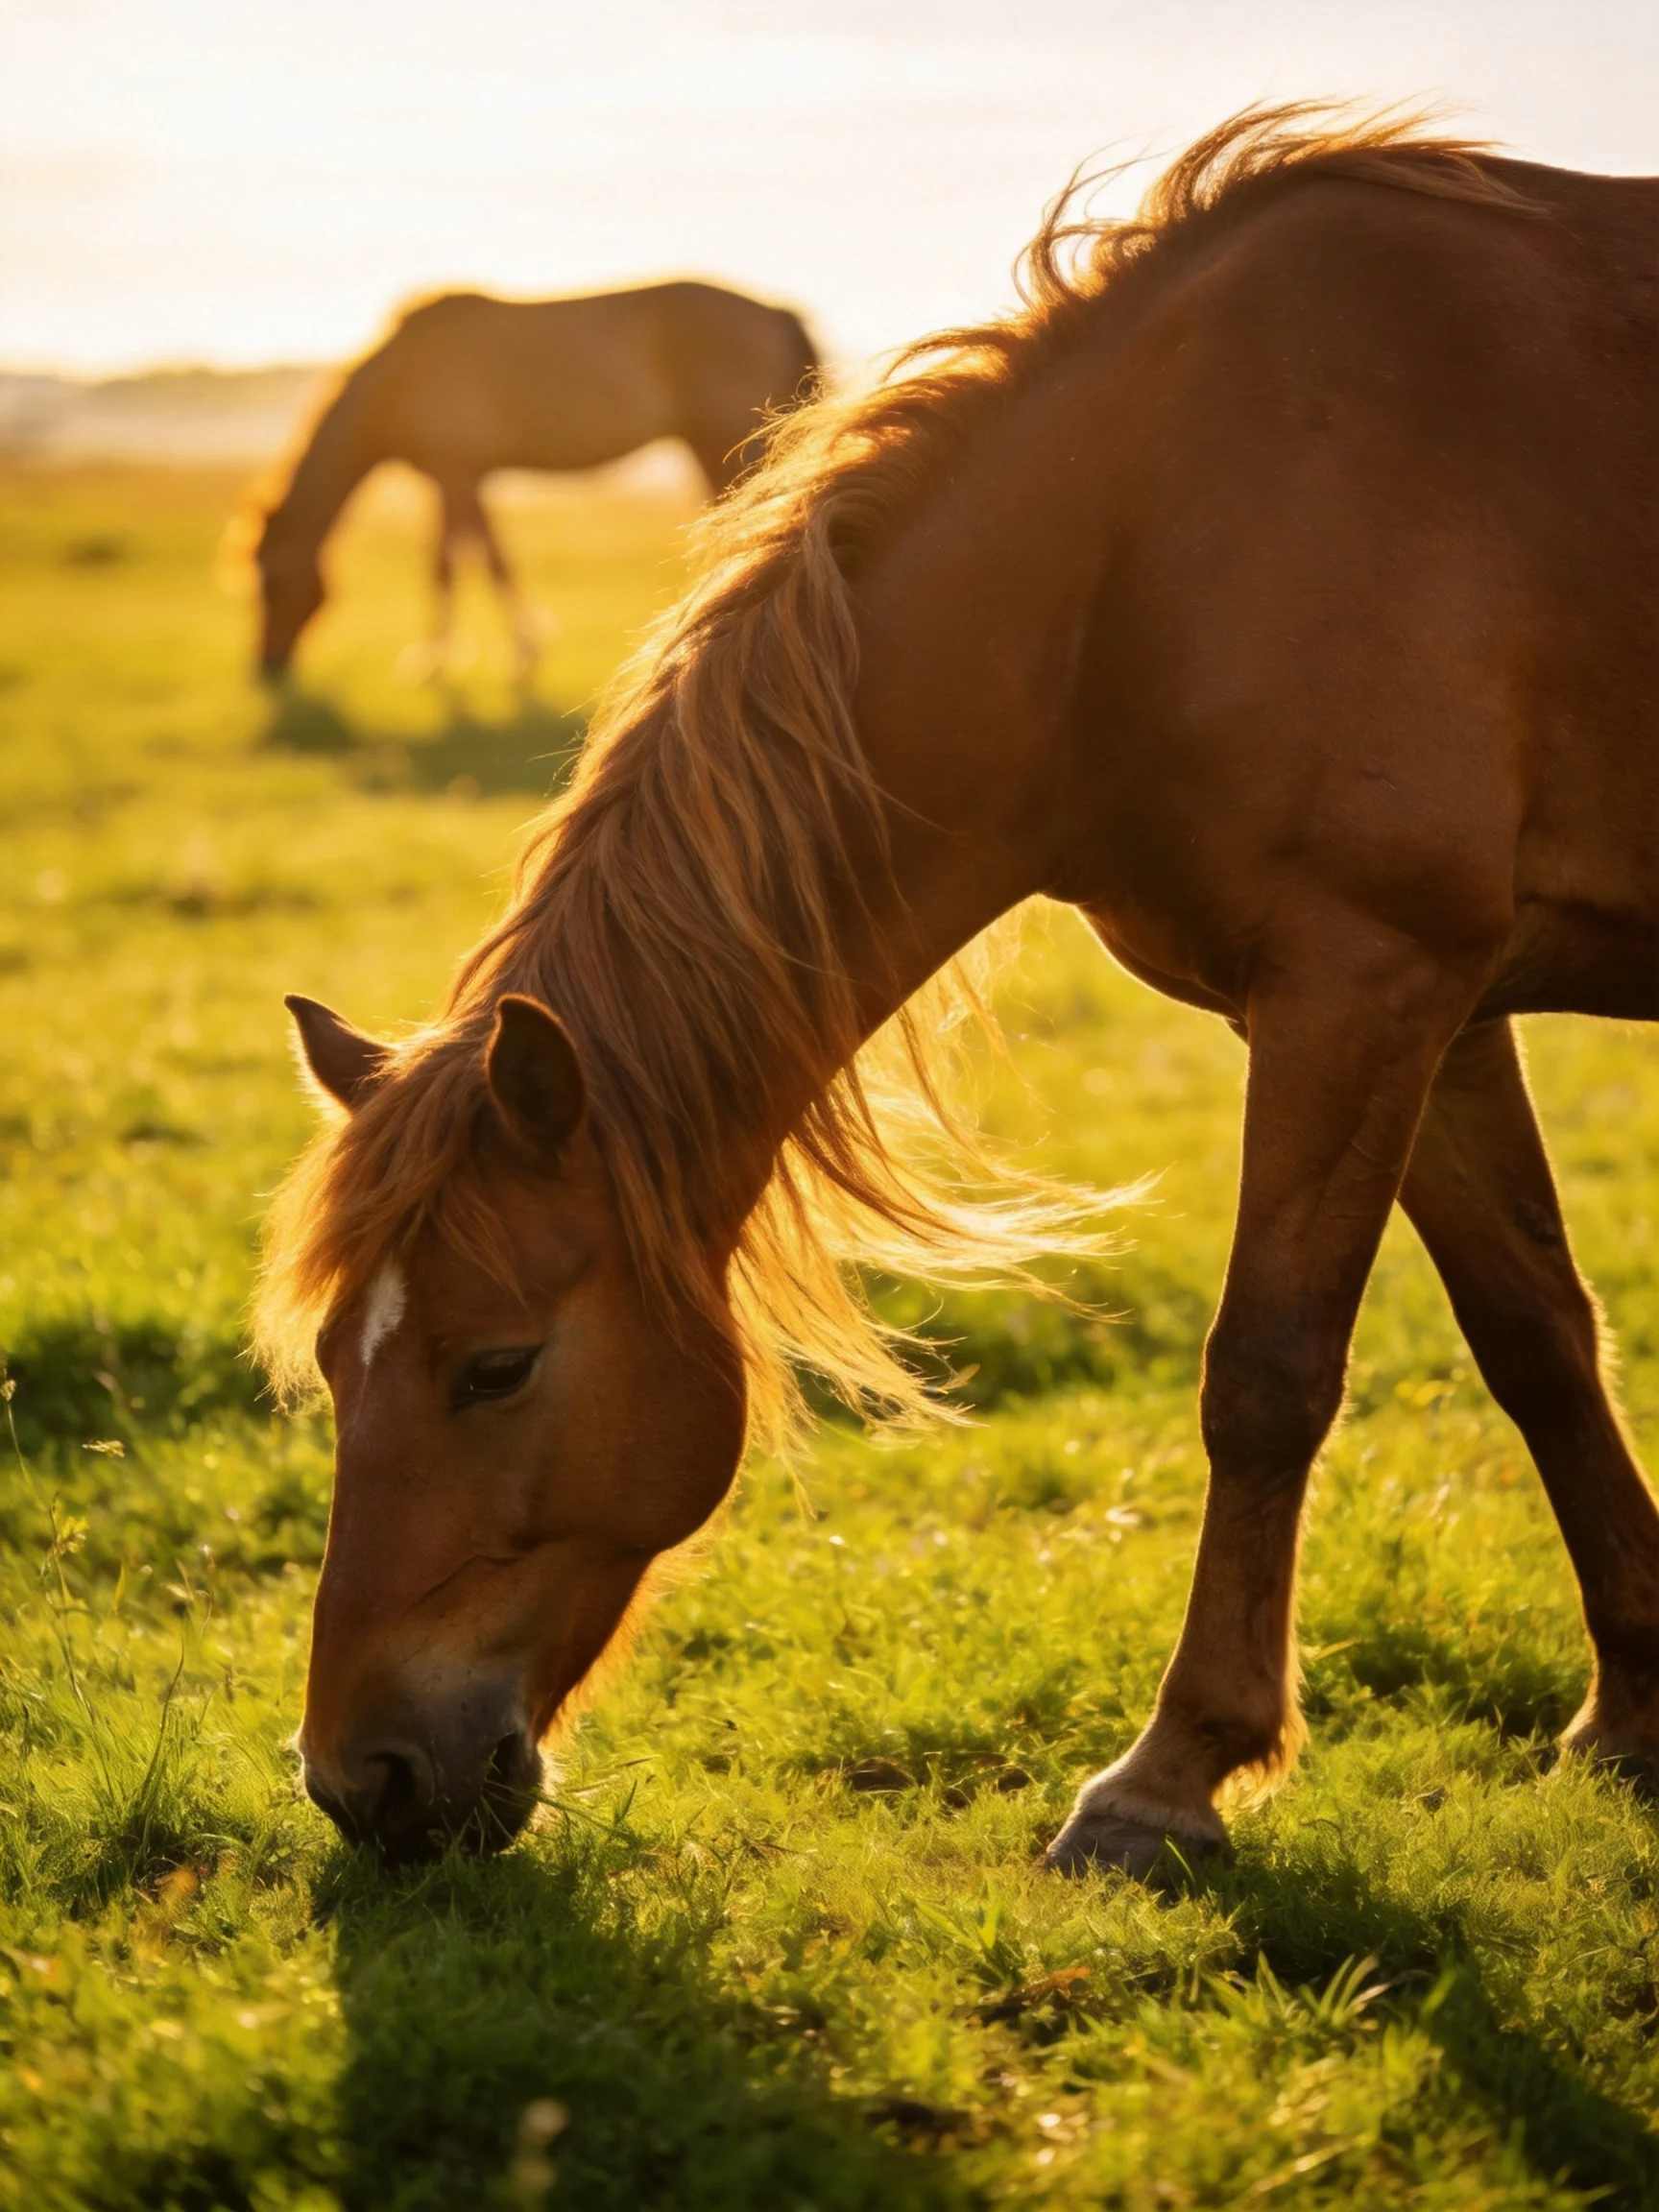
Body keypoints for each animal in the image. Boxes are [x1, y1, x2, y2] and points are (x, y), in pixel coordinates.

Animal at [251, 280, 820, 681]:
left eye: (271, 581)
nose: (267, 666)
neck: (404, 372)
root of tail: (776, 311)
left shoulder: (457, 472)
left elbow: (475, 563)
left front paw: (500, 658)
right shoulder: (453, 476)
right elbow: (458, 560)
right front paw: (444, 659)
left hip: (727, 441)